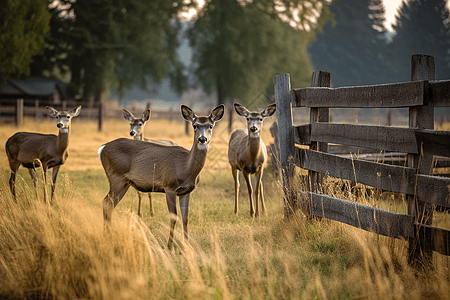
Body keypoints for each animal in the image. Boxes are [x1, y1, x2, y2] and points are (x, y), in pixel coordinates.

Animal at [99, 104, 224, 250]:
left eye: (211, 125)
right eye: (195, 125)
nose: (202, 139)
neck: (186, 168)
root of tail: (102, 148)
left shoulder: (186, 191)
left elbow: (185, 218)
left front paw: (187, 246)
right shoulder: (169, 186)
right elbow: (173, 216)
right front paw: (170, 247)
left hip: (125, 183)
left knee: (109, 203)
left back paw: (108, 235)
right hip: (116, 177)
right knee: (107, 202)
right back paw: (107, 236)